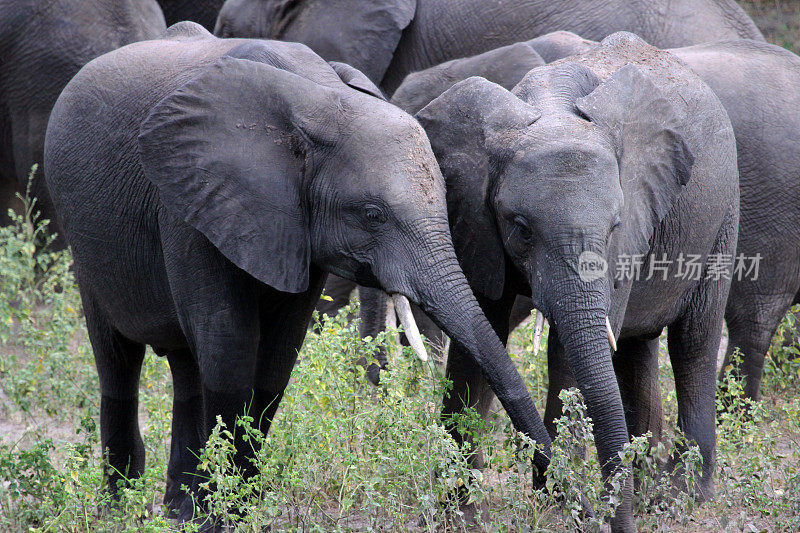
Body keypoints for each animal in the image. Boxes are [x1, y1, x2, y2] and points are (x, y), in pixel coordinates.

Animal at [43, 20, 552, 524]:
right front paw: (221, 518)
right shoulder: (190, 203)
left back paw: (176, 511)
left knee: (187, 366)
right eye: (372, 216)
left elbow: (276, 360)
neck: (318, 102)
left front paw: (235, 509)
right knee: (118, 361)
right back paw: (119, 508)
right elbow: (229, 349)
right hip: (83, 236)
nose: (557, 481)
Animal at [416, 33, 740, 528]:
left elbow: (568, 349)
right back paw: (646, 489)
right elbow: (479, 335)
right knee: (635, 350)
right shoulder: (474, 216)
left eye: (614, 225)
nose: (604, 516)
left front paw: (553, 506)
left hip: (722, 217)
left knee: (693, 343)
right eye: (520, 228)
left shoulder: (630, 233)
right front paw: (460, 512)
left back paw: (683, 496)